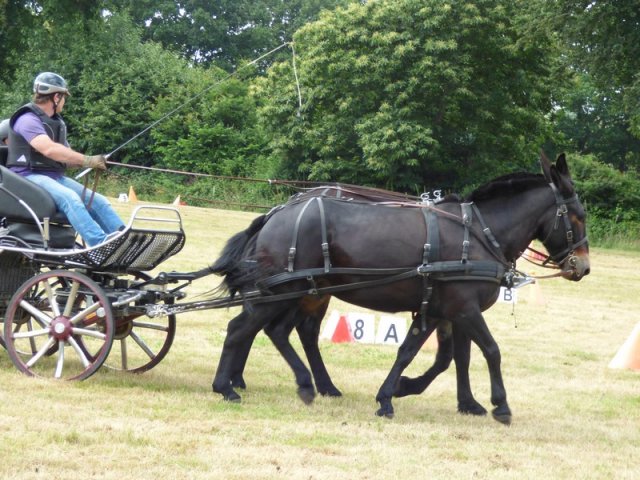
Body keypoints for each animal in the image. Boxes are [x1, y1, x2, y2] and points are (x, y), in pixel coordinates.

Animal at [208, 153, 589, 424]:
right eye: (577, 216)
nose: (583, 267)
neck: (481, 233)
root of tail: (276, 214)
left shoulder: (442, 310)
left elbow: (440, 356)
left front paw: (438, 397)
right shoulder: (464, 309)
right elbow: (490, 351)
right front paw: (500, 405)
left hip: (302, 292)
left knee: (277, 330)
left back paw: (305, 383)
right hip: (284, 292)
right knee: (243, 328)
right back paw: (227, 386)